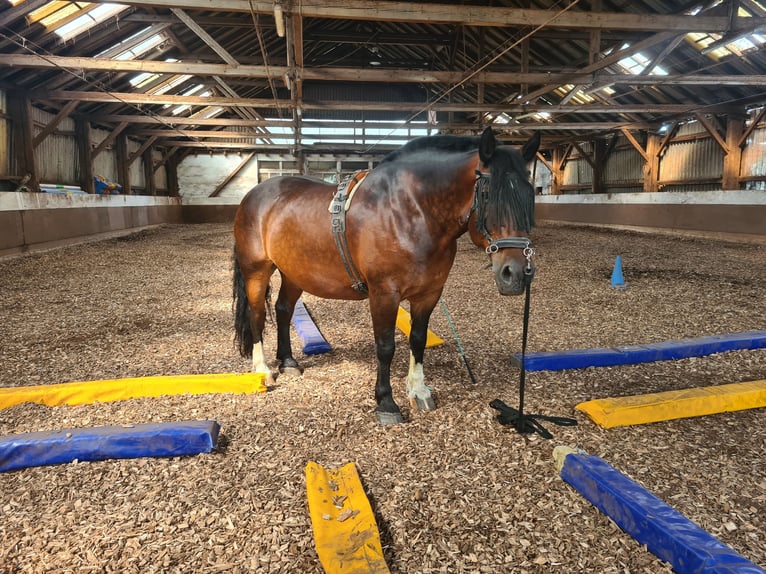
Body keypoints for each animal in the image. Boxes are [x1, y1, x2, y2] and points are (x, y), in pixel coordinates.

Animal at [234, 128, 540, 426]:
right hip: (257, 270)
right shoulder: (384, 294)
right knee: (257, 314)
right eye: (489, 196)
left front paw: (418, 390)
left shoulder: (429, 294)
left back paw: (287, 362)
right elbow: (385, 347)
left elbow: (418, 339)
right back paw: (263, 370)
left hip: (293, 273)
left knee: (283, 310)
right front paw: (386, 402)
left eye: (530, 195)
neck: (413, 211)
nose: (516, 274)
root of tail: (253, 195)